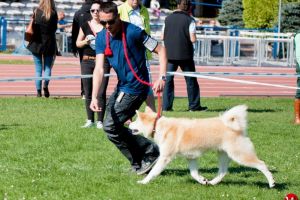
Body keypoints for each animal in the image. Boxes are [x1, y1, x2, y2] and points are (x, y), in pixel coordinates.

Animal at [127, 104, 276, 188]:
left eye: (136, 120)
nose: (128, 124)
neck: (158, 126)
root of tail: (237, 127)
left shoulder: (165, 158)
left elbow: (153, 172)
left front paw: (144, 182)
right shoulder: (191, 158)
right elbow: (193, 174)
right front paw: (202, 180)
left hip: (240, 155)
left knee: (262, 164)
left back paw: (272, 182)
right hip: (223, 155)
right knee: (222, 172)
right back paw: (211, 183)